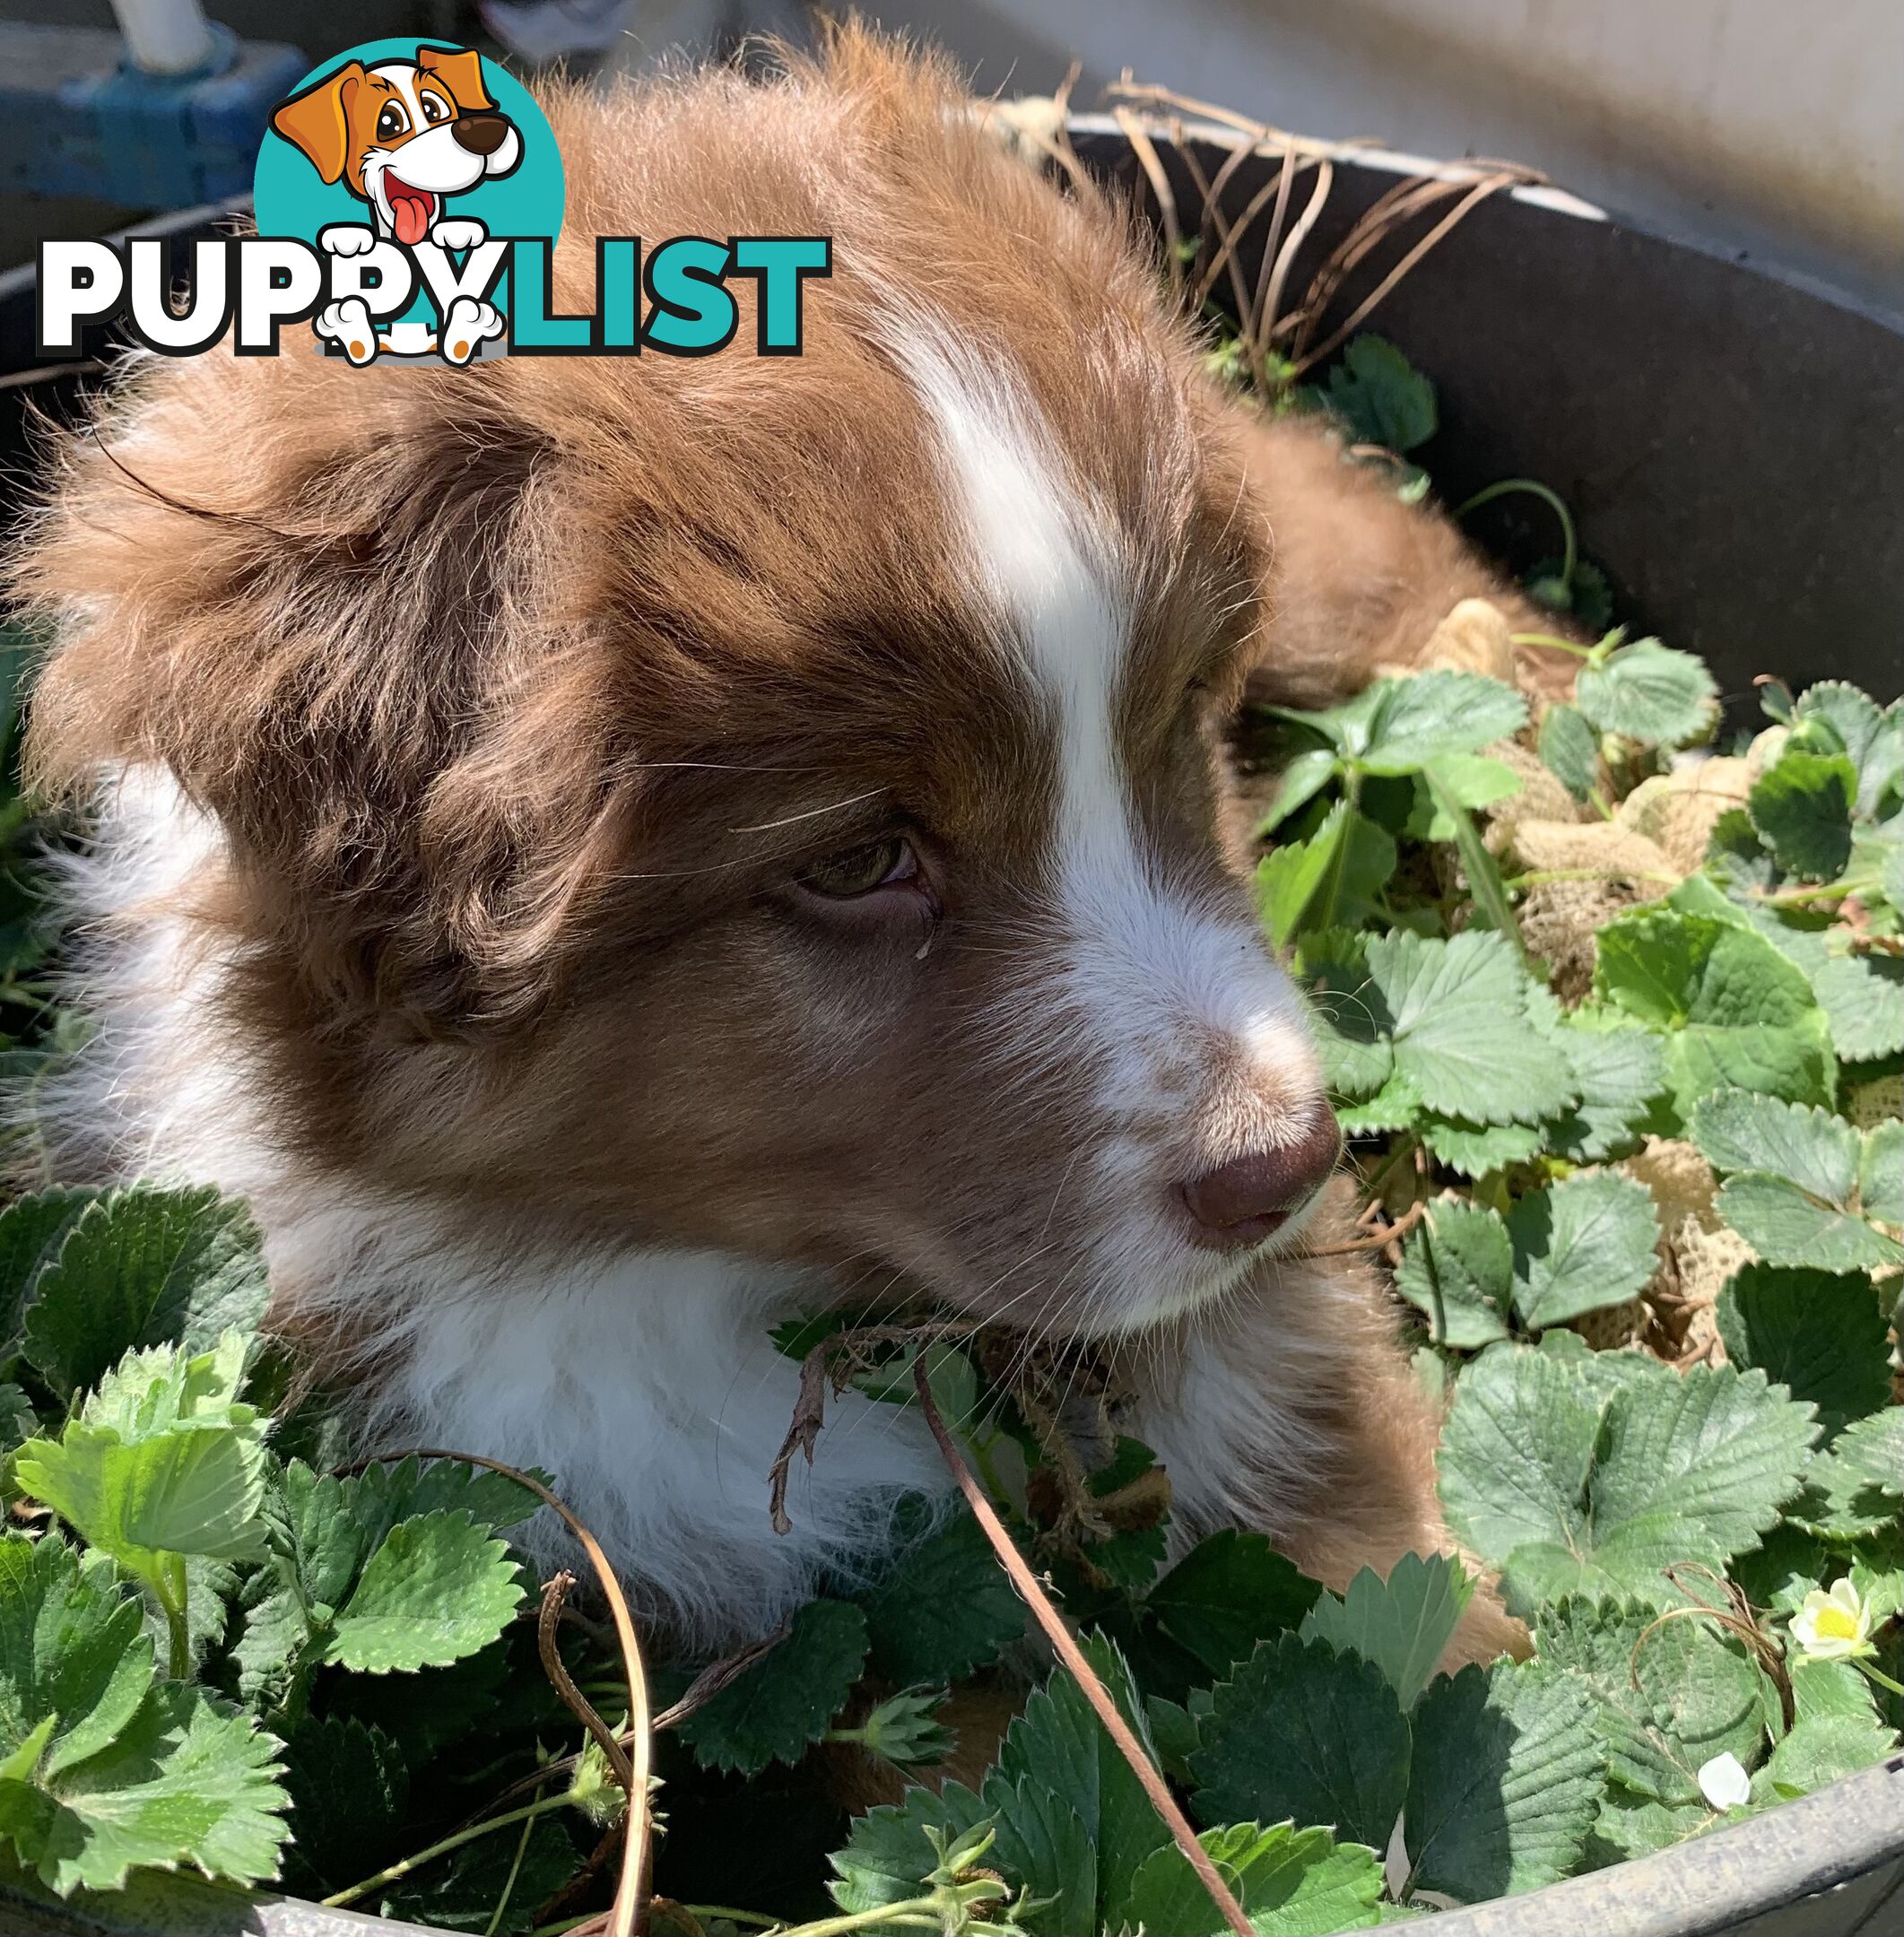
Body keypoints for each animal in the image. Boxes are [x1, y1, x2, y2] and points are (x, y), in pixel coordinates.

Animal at [11, 30, 1549, 1657]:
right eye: (855, 863)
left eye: (1173, 733)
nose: (1287, 1169)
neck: (731, 1280)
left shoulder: (1273, 1356)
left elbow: (1398, 1602)